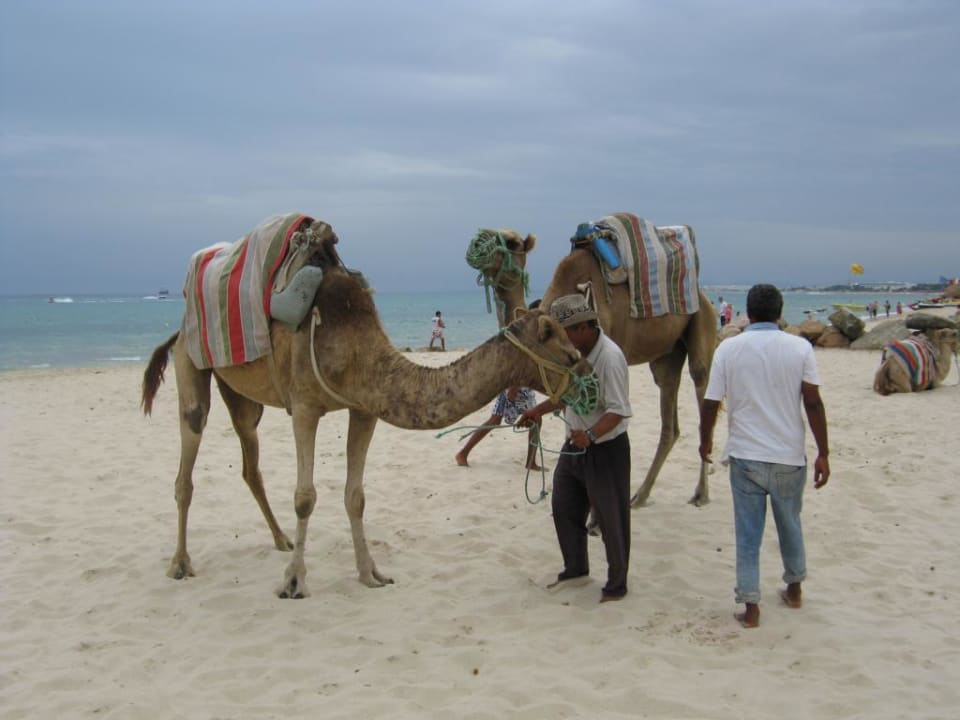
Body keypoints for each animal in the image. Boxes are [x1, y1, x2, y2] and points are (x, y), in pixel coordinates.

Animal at [142, 264, 591, 598]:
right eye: (554, 337)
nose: (585, 366)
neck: (356, 350)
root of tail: (180, 328)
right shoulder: (304, 407)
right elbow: (305, 497)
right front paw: (294, 581)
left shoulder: (365, 410)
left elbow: (355, 496)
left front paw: (370, 573)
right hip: (191, 364)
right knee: (188, 459)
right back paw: (180, 563)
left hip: (241, 397)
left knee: (250, 461)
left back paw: (281, 539)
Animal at [467, 227, 717, 506]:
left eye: (510, 242)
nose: (477, 242)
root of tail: (702, 295)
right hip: (667, 354)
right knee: (669, 418)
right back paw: (640, 496)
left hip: (702, 322)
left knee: (701, 383)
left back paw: (701, 494)